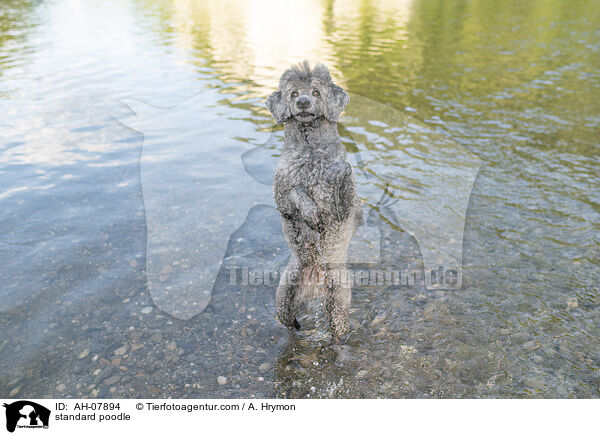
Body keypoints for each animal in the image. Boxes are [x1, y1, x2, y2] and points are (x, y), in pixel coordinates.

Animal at [268, 61, 360, 342]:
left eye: (316, 92)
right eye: (294, 94)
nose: (303, 103)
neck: (310, 152)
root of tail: (317, 277)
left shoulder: (342, 208)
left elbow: (343, 177)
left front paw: (340, 173)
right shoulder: (282, 197)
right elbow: (297, 191)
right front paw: (310, 213)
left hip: (338, 295)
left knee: (337, 325)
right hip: (285, 296)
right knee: (289, 321)